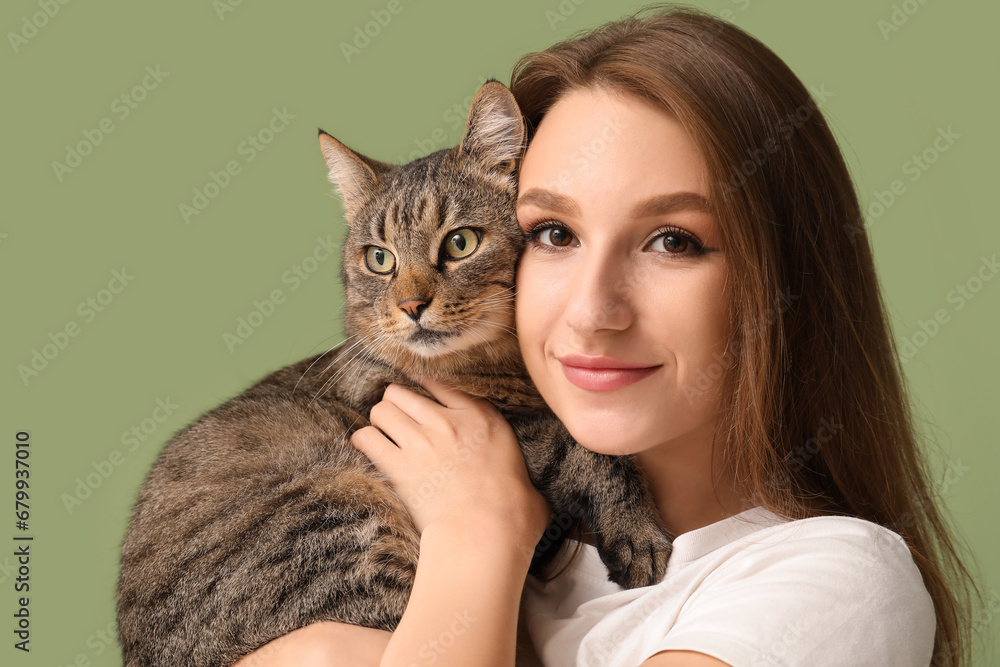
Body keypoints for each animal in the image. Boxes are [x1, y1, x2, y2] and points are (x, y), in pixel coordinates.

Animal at [113, 79, 668, 667]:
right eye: (379, 259)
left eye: (461, 242)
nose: (411, 305)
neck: (499, 370)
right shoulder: (427, 404)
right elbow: (581, 448)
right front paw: (637, 532)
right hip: (338, 515)